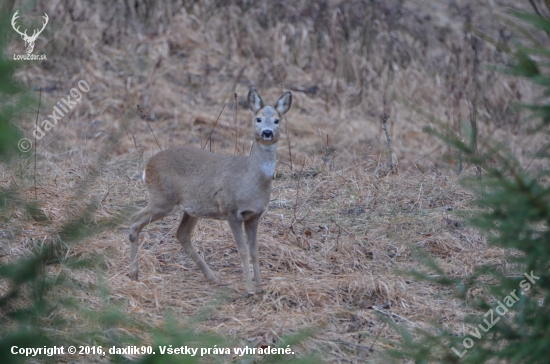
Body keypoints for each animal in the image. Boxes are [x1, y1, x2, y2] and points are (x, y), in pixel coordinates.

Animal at [129, 87, 294, 292]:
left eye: (277, 120)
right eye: (258, 118)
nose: (267, 132)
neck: (250, 179)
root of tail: (147, 166)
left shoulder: (254, 216)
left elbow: (255, 252)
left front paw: (260, 288)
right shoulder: (232, 211)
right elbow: (243, 251)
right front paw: (249, 289)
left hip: (191, 208)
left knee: (181, 234)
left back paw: (213, 277)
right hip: (163, 198)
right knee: (134, 220)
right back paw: (134, 274)